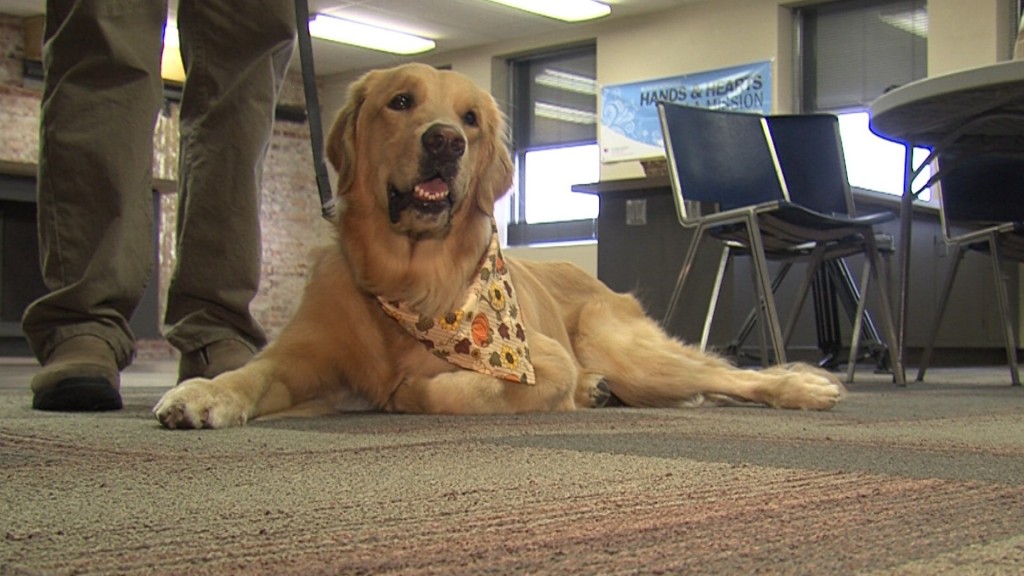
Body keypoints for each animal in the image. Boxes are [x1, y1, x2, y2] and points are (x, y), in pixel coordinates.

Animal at [151, 63, 839, 430]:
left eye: (472, 119)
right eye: (400, 101)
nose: (445, 141)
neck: (407, 279)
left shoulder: (539, 363)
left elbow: (448, 388)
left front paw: (406, 390)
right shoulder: (303, 357)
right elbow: (251, 371)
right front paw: (203, 393)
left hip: (626, 349)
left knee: (725, 374)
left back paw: (805, 386)